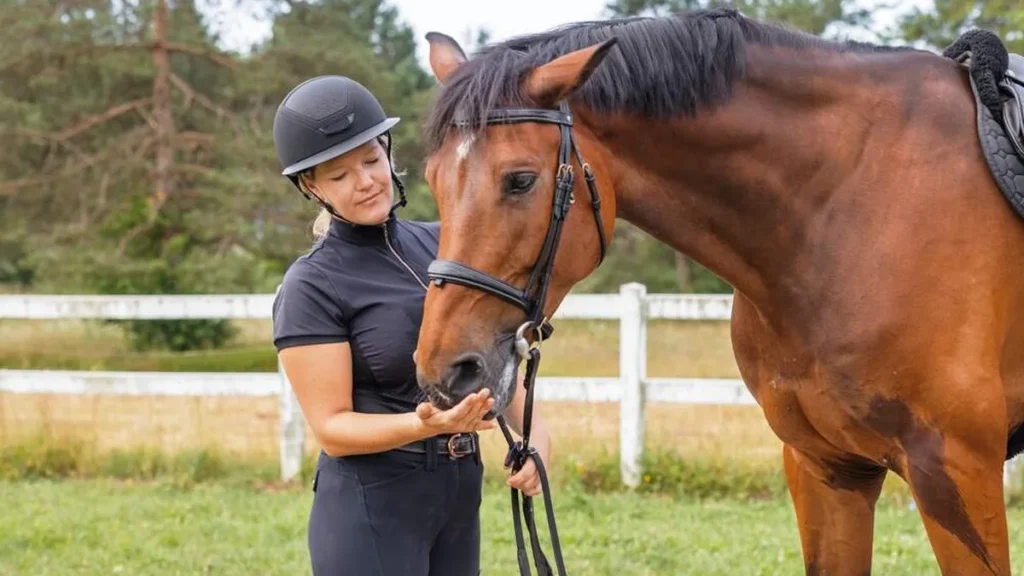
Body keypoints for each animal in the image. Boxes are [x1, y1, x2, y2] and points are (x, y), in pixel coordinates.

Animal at [412, 7, 1024, 575]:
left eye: (520, 180)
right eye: (433, 181)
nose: (445, 371)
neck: (849, 206)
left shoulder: (954, 472)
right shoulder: (827, 468)